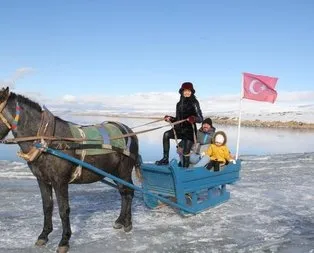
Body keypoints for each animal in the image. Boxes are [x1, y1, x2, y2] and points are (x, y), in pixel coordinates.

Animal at [0, 86, 141, 252]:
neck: (46, 140)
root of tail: (128, 130)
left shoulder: (60, 182)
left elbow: (63, 209)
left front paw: (64, 241)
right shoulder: (42, 180)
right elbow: (47, 207)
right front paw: (44, 235)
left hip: (124, 171)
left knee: (129, 193)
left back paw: (128, 223)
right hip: (114, 172)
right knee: (123, 194)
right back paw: (120, 220)